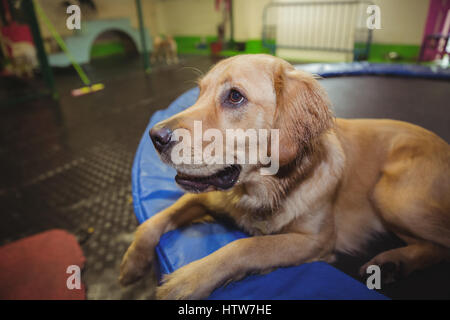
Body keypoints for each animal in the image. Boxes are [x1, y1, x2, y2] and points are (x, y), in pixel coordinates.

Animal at [119, 53, 450, 298]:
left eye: (235, 97)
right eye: (199, 93)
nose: (155, 136)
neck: (264, 188)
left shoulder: (314, 241)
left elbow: (247, 246)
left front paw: (190, 278)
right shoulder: (206, 197)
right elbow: (153, 221)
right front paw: (133, 262)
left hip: (391, 196)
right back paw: (394, 263)